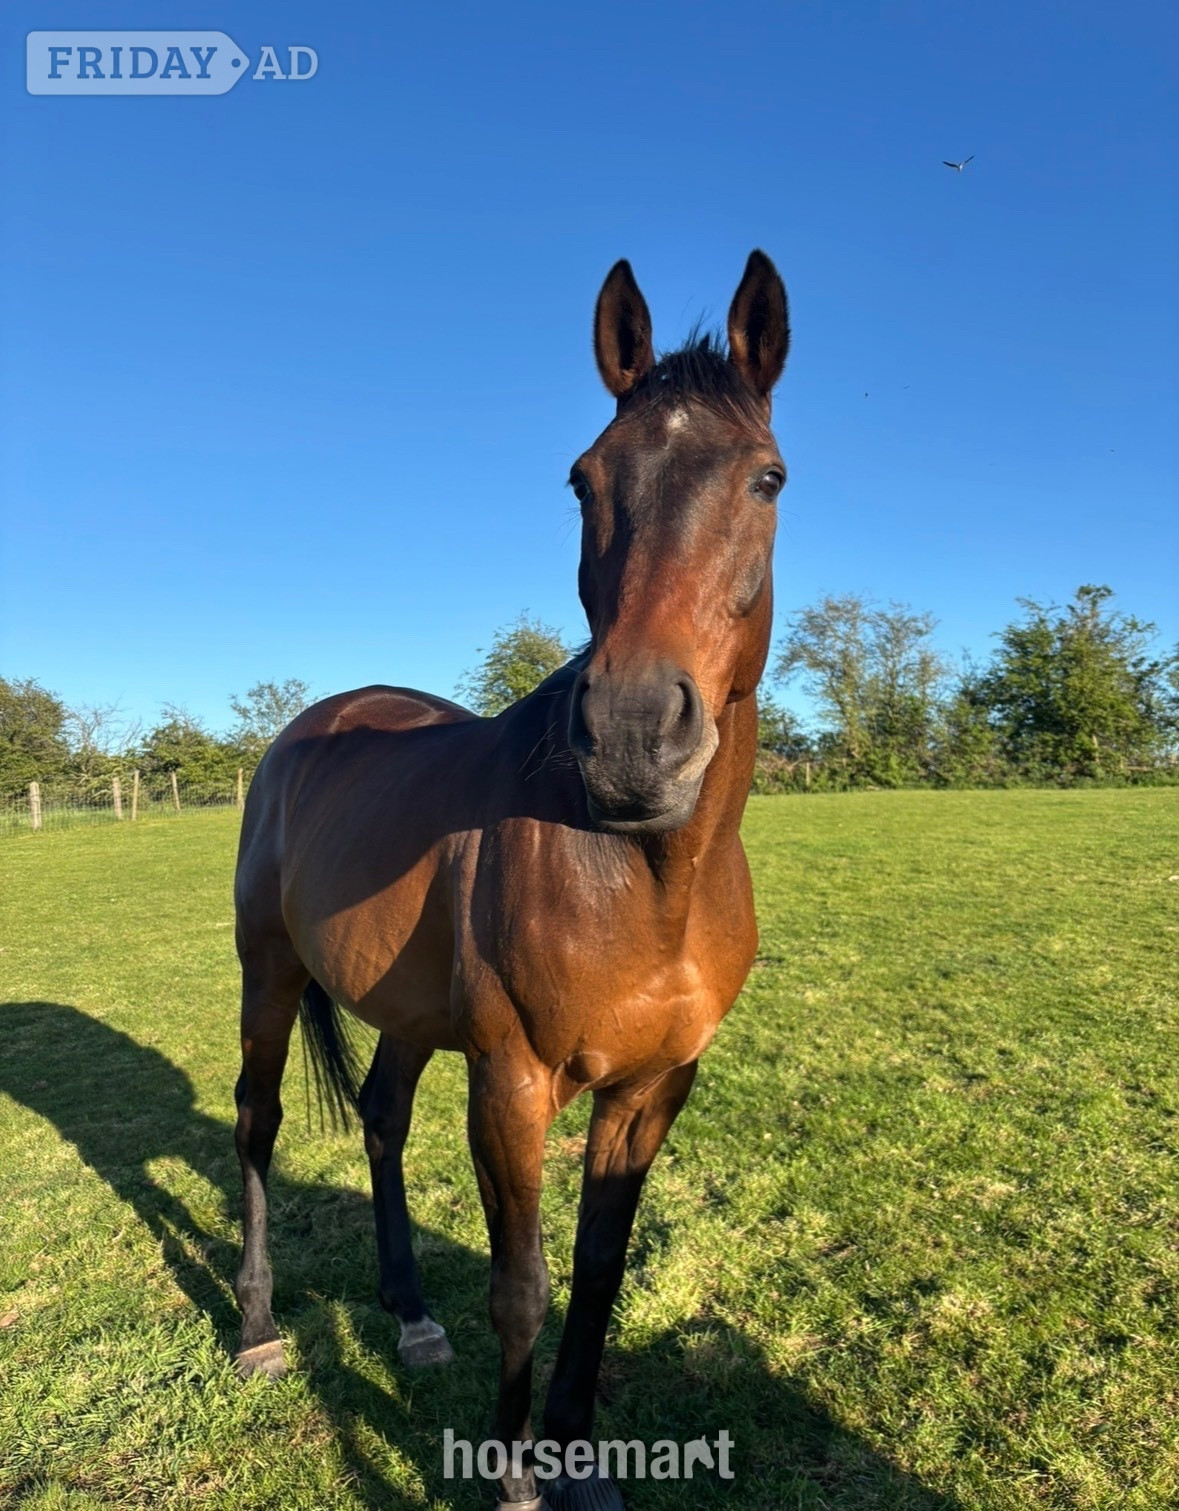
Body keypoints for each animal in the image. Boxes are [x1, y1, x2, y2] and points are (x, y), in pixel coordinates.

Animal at [232, 250, 790, 1510]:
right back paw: (255, 1326)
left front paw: (584, 1463)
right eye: (584, 479)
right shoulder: (512, 1082)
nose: (633, 733)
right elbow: (523, 1283)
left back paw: (407, 1313)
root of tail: (313, 725)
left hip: (404, 1011)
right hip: (270, 974)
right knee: (257, 1120)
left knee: (381, 1116)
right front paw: (518, 1477)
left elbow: (598, 1270)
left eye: (768, 478)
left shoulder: (651, 1089)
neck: (640, 873)